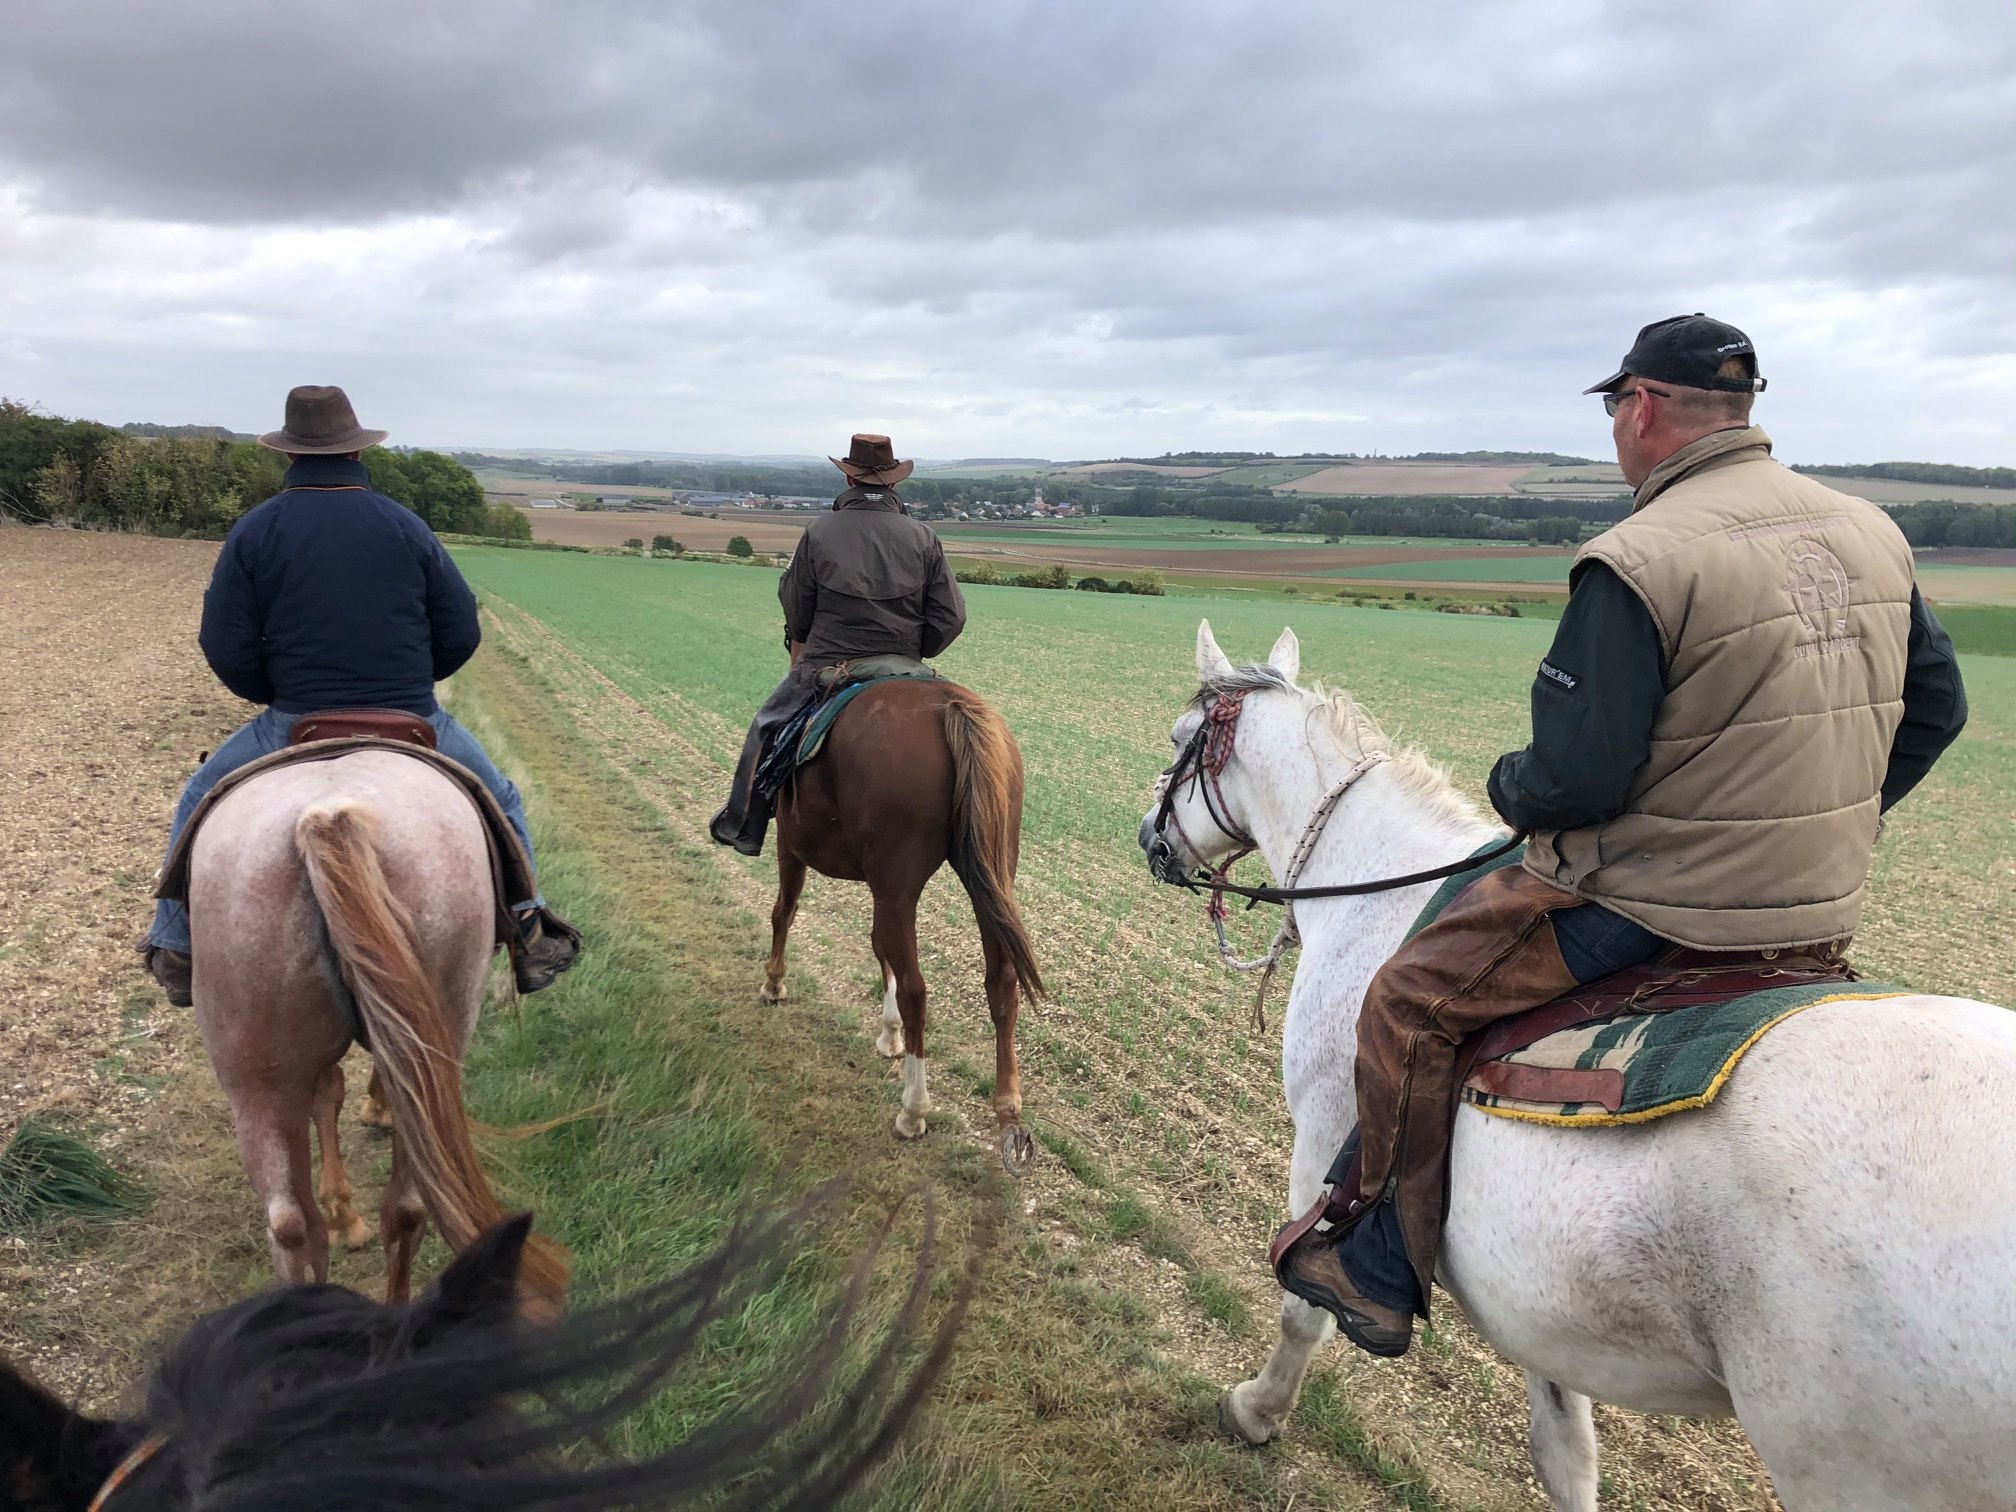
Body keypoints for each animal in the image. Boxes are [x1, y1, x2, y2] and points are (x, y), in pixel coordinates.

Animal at [187, 753, 568, 1322]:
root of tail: (327, 818)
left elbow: (330, 1094)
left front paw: (345, 1209)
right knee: (392, 1211)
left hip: (258, 1086)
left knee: (300, 1223)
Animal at [766, 677, 1048, 1169]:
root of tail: (951, 706)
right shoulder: (881, 886)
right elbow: (880, 949)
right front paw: (889, 1033)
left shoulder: (791, 843)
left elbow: (785, 910)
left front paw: (774, 983)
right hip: (989, 875)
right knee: (1001, 983)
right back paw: (1008, 1110)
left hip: (898, 885)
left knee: (917, 988)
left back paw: (913, 1110)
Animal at [1137, 616, 2016, 1512]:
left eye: (1178, 738)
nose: (1151, 839)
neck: (1375, 881)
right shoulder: (1541, 1301)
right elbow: (1564, 1448)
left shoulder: (1324, 1141)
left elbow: (1300, 1307)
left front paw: (1255, 1411)